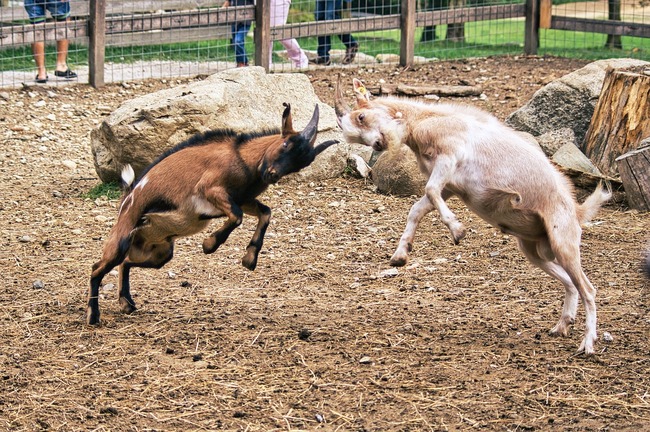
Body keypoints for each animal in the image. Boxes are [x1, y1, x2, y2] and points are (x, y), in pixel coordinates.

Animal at [88, 102, 336, 324]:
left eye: (302, 163)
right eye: (285, 144)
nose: (272, 175)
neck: (243, 159)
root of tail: (127, 198)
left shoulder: (244, 199)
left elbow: (264, 212)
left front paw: (249, 259)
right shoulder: (211, 190)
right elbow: (237, 216)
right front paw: (210, 244)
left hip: (159, 253)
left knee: (126, 262)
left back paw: (126, 303)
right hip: (122, 238)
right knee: (97, 268)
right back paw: (93, 316)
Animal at [336, 77, 612, 354]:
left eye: (361, 116)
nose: (378, 144)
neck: (426, 121)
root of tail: (576, 211)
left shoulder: (449, 158)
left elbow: (430, 190)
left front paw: (458, 231)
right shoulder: (449, 186)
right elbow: (418, 207)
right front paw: (400, 256)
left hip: (563, 241)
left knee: (588, 289)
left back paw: (588, 344)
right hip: (533, 249)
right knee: (570, 282)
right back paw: (562, 325)